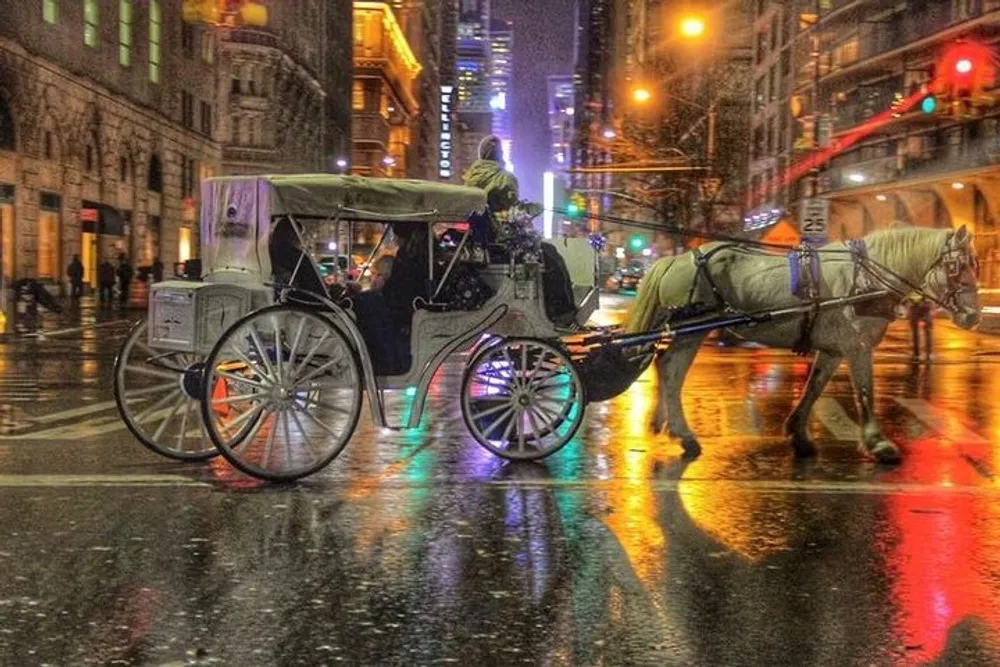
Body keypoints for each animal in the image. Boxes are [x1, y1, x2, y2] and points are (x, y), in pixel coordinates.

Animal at [628, 227, 980, 462]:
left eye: (975, 265)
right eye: (956, 266)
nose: (973, 317)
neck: (866, 279)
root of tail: (676, 259)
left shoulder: (833, 350)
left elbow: (814, 388)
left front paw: (799, 433)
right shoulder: (858, 347)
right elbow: (865, 392)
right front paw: (878, 443)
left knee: (664, 366)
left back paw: (665, 424)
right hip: (692, 332)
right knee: (672, 371)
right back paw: (683, 434)